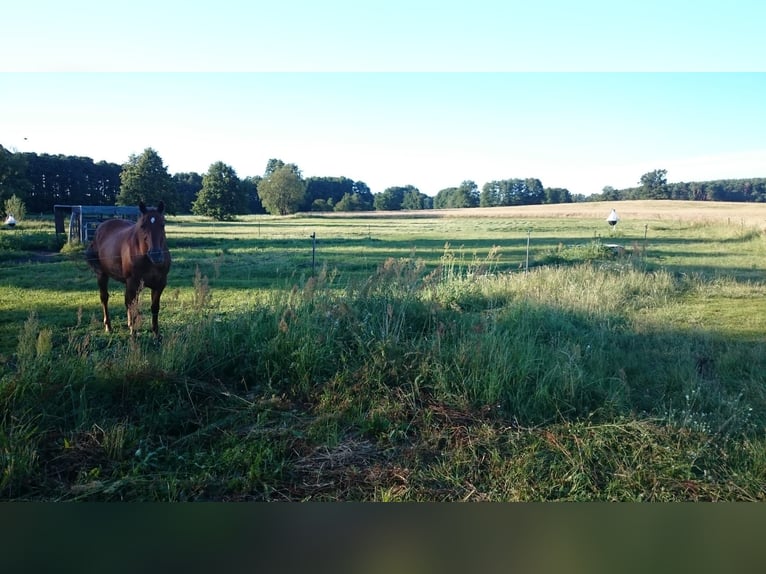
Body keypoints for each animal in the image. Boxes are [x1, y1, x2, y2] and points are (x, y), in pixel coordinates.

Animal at [85, 202, 172, 338]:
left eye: (162, 224)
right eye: (142, 225)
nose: (156, 255)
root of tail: (100, 227)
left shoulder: (159, 284)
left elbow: (154, 308)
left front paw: (156, 334)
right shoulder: (133, 283)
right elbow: (133, 307)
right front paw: (134, 334)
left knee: (127, 301)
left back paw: (129, 324)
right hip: (102, 275)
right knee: (105, 298)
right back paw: (108, 326)